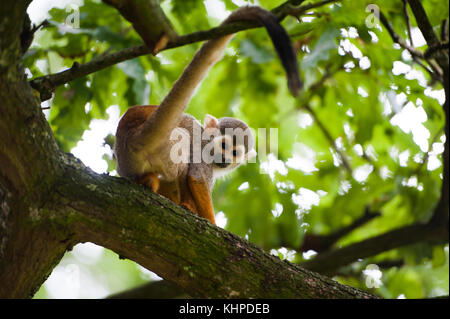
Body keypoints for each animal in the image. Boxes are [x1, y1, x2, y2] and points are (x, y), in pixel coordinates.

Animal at [114, 5, 300, 225]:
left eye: (235, 153)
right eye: (223, 145)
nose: (225, 159)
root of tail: (133, 135)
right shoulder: (202, 153)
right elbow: (196, 178)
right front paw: (211, 221)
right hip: (166, 145)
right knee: (185, 143)